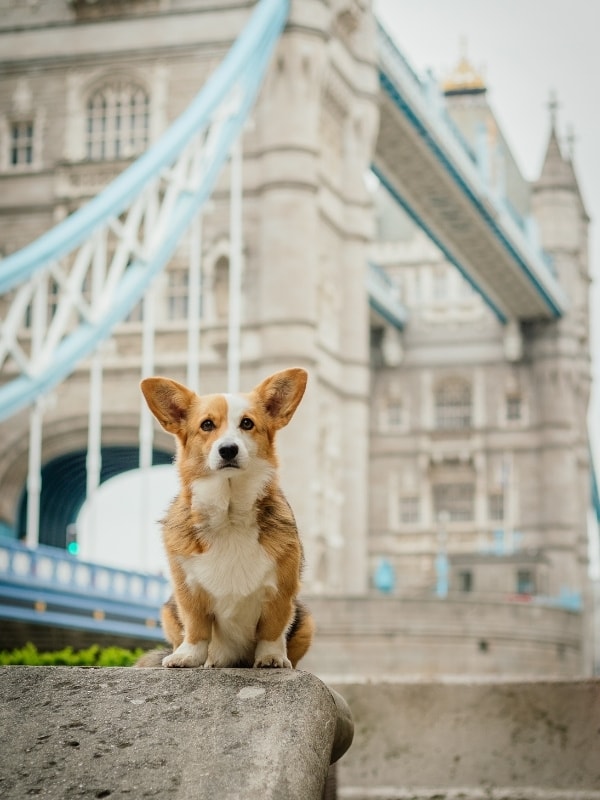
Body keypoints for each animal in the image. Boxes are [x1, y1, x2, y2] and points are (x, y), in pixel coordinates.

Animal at [137, 368, 314, 668]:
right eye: (207, 425)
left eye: (247, 423)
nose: (228, 449)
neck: (229, 514)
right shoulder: (188, 591)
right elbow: (196, 628)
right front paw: (187, 656)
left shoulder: (281, 591)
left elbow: (272, 629)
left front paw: (271, 658)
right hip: (168, 611)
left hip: (307, 622)